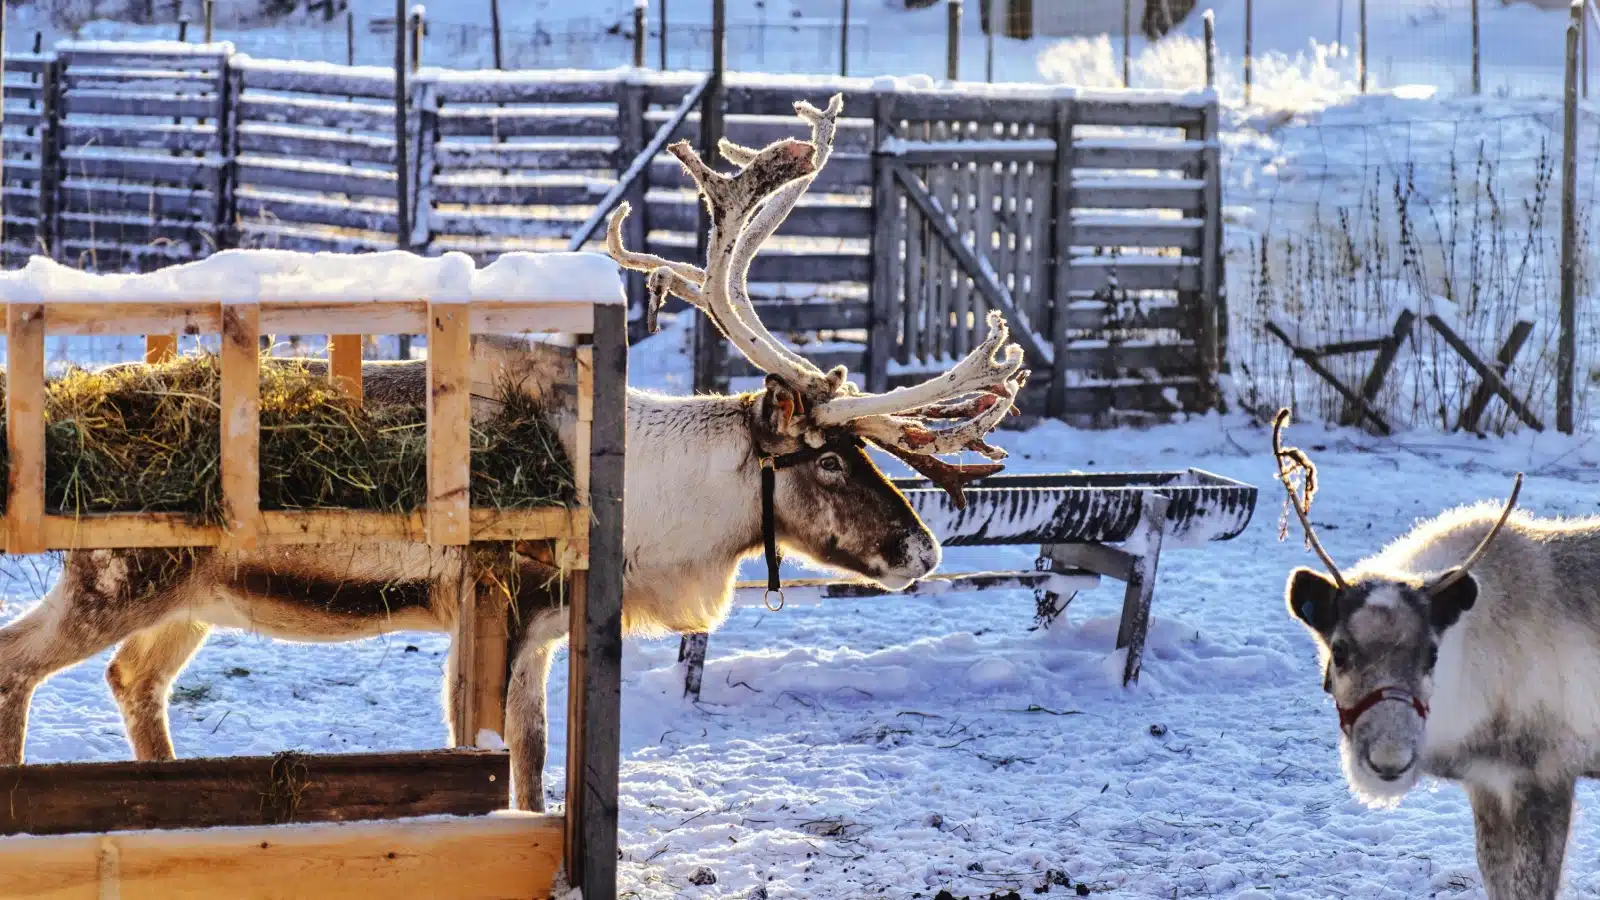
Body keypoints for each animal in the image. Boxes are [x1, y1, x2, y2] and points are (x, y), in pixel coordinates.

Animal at [0, 94, 1029, 813]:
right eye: (827, 458)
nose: (922, 548)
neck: (650, 511)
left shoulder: (542, 632)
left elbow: (532, 765)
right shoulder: (496, 608)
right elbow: (500, 760)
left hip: (191, 597)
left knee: (133, 681)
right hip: (117, 576)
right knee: (19, 663)